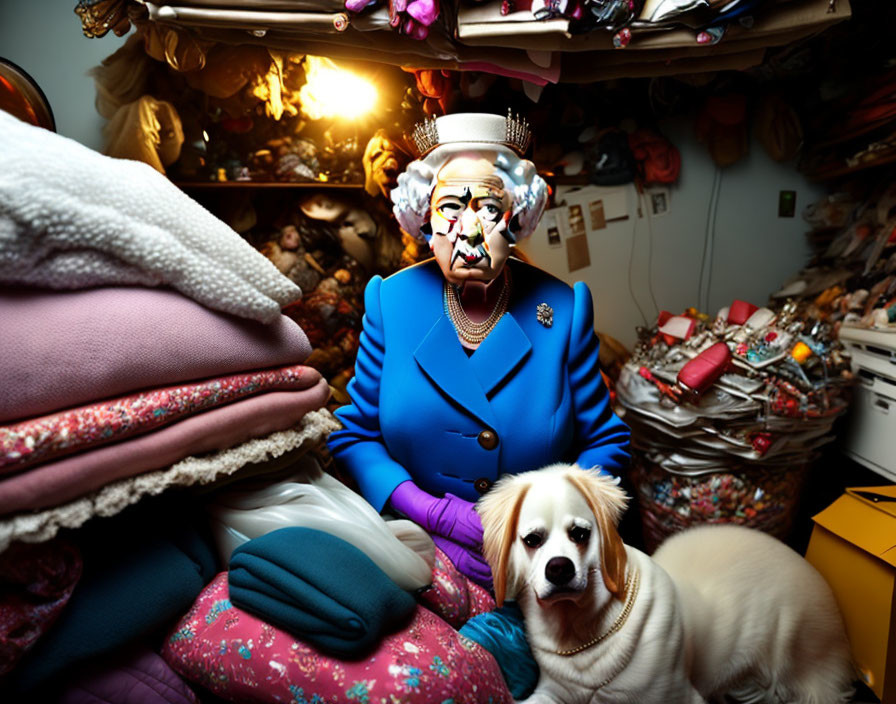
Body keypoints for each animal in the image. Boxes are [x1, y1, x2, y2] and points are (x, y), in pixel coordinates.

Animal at [480, 464, 852, 700]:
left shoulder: (679, 695)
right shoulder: (553, 691)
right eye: (532, 540)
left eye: (580, 533)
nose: (559, 569)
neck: (581, 634)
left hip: (809, 668)